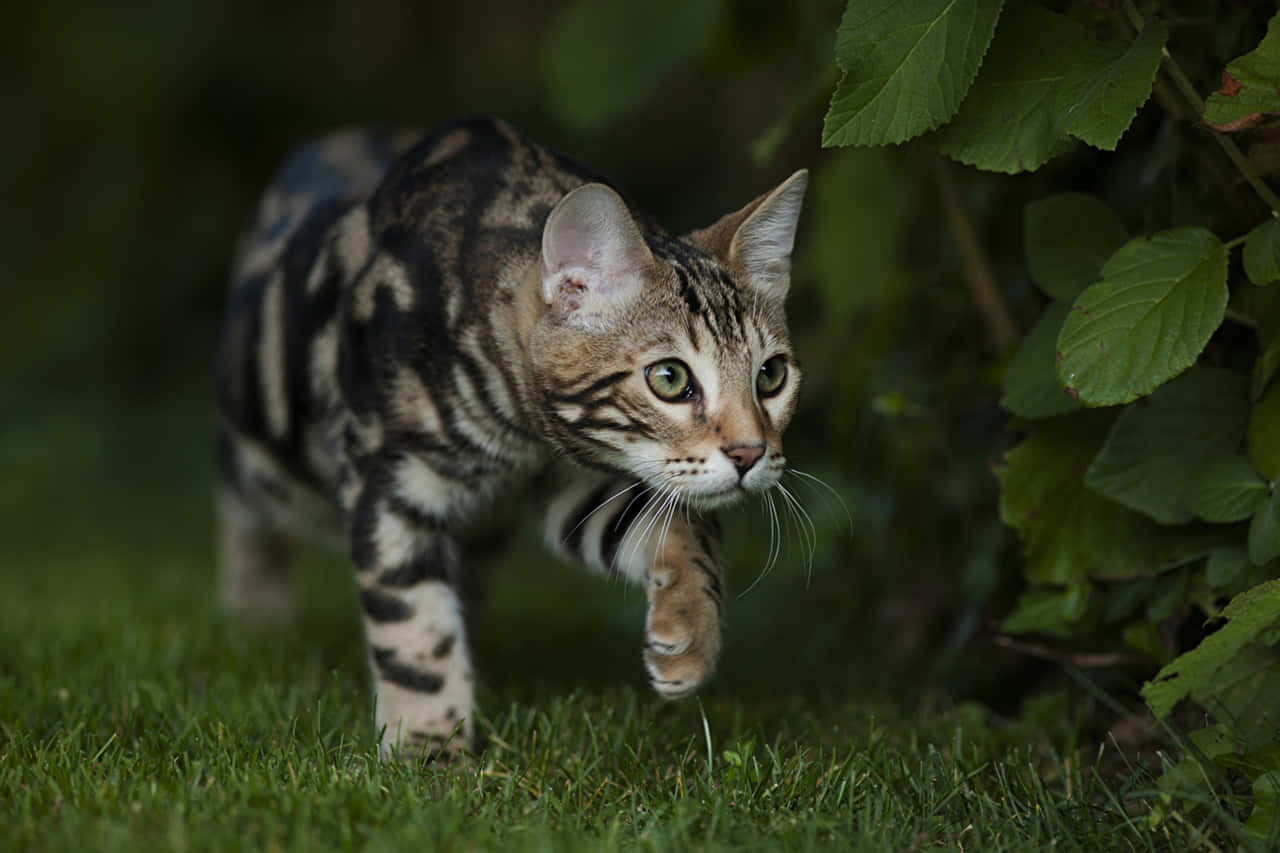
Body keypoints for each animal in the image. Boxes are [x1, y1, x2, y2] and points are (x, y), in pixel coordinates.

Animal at [213, 114, 803, 758]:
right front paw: (427, 752)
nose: (750, 453)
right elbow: (413, 632)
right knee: (245, 503)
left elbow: (683, 528)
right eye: (669, 378)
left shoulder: (571, 479)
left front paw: (690, 632)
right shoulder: (387, 478)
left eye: (771, 376)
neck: (520, 431)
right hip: (265, 448)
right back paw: (256, 615)